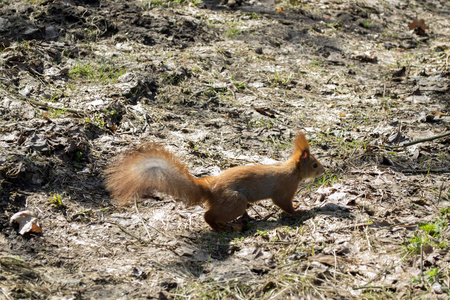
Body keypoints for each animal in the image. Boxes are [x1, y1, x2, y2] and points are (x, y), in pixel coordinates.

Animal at [105, 131, 324, 230]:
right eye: (314, 165)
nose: (323, 170)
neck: (292, 171)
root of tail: (210, 188)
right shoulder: (285, 188)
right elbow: (284, 203)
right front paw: (299, 211)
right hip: (234, 201)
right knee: (208, 216)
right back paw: (221, 227)